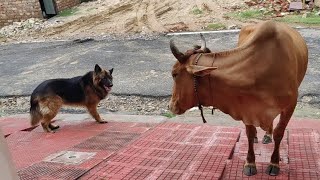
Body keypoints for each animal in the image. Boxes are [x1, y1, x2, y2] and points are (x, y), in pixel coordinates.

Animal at [169, 20, 308, 176]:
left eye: (174, 74)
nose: (170, 105)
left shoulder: (290, 105)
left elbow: (279, 133)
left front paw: (274, 163)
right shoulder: (245, 106)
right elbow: (249, 133)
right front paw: (250, 162)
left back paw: (267, 135)